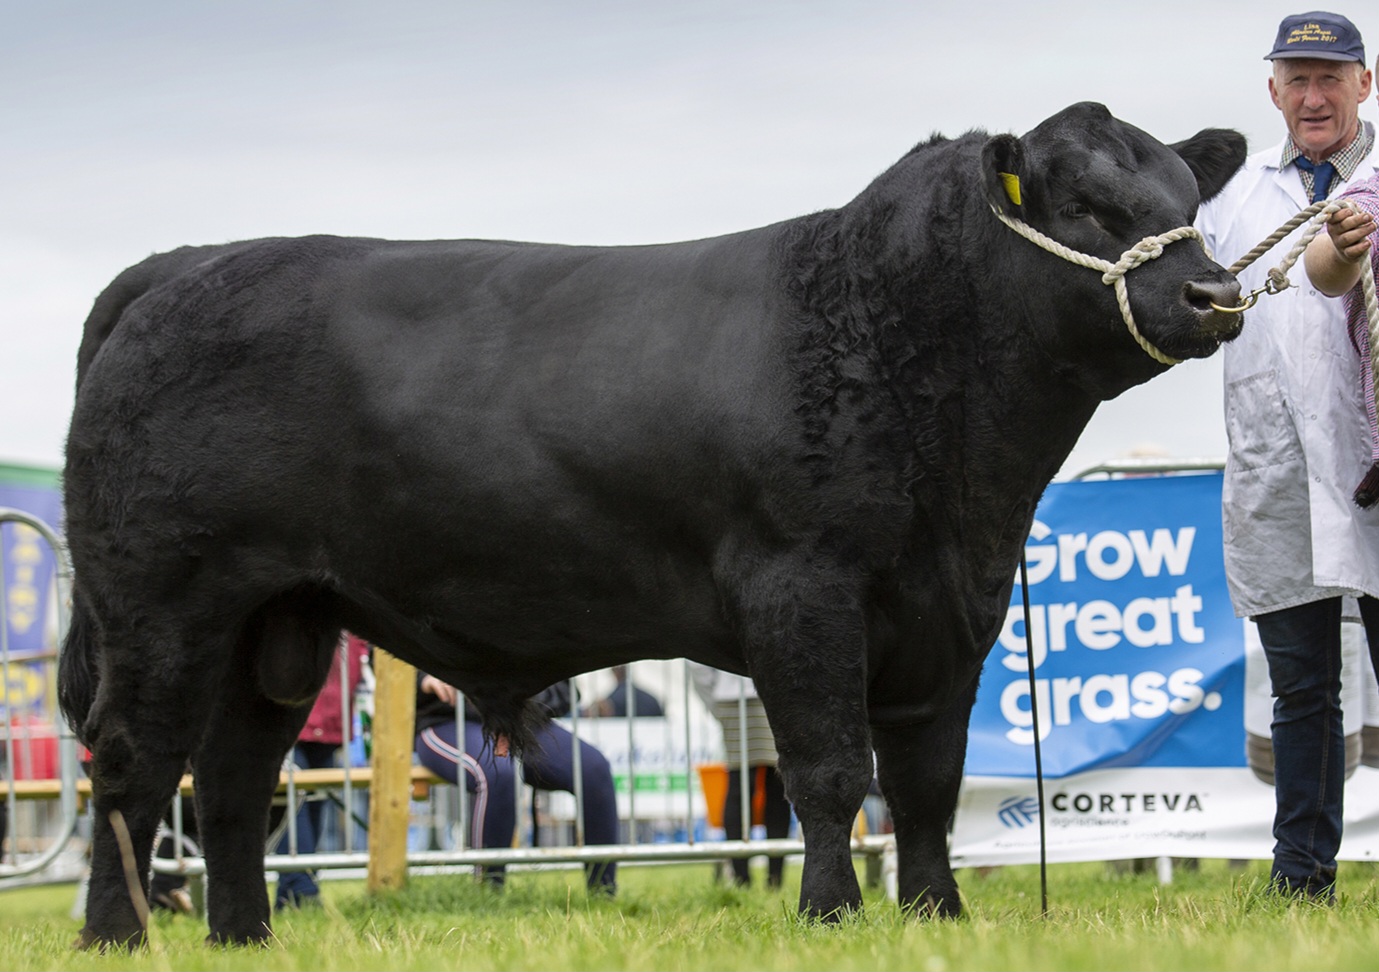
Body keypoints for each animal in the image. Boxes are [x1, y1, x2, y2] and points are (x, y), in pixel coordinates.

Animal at [60, 102, 1246, 948]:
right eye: (1084, 205)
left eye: (1187, 195)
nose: (1214, 294)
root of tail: (183, 266)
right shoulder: (803, 587)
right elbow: (830, 769)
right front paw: (830, 915)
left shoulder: (949, 611)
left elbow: (925, 781)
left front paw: (935, 915)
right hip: (160, 602)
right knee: (131, 761)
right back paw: (117, 935)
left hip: (277, 619)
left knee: (230, 778)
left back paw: (243, 936)